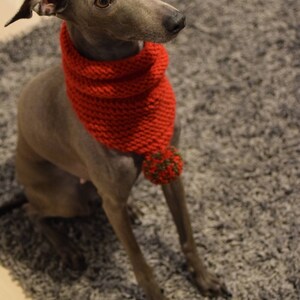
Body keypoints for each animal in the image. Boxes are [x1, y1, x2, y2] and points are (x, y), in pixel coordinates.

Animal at [4, 1, 232, 298]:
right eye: (102, 3)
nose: (178, 20)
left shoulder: (171, 169)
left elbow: (187, 236)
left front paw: (203, 278)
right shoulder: (112, 204)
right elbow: (141, 265)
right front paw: (156, 293)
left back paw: (130, 207)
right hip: (69, 199)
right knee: (32, 212)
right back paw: (67, 248)